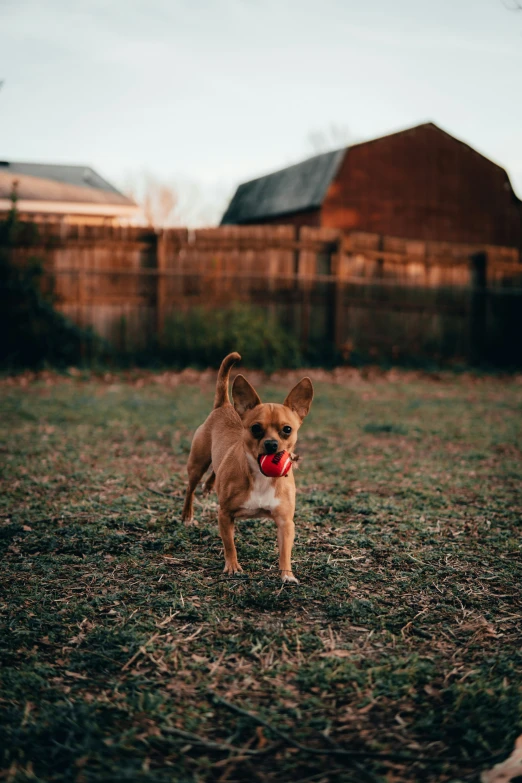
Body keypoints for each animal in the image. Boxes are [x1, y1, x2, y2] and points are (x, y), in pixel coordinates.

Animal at [182, 354, 312, 580]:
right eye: (256, 428)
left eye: (287, 429)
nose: (271, 444)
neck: (261, 476)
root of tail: (224, 405)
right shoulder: (225, 515)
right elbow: (229, 545)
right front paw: (233, 566)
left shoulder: (285, 522)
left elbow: (285, 550)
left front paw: (287, 574)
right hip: (197, 464)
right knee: (190, 488)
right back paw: (187, 515)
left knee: (215, 469)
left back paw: (209, 486)